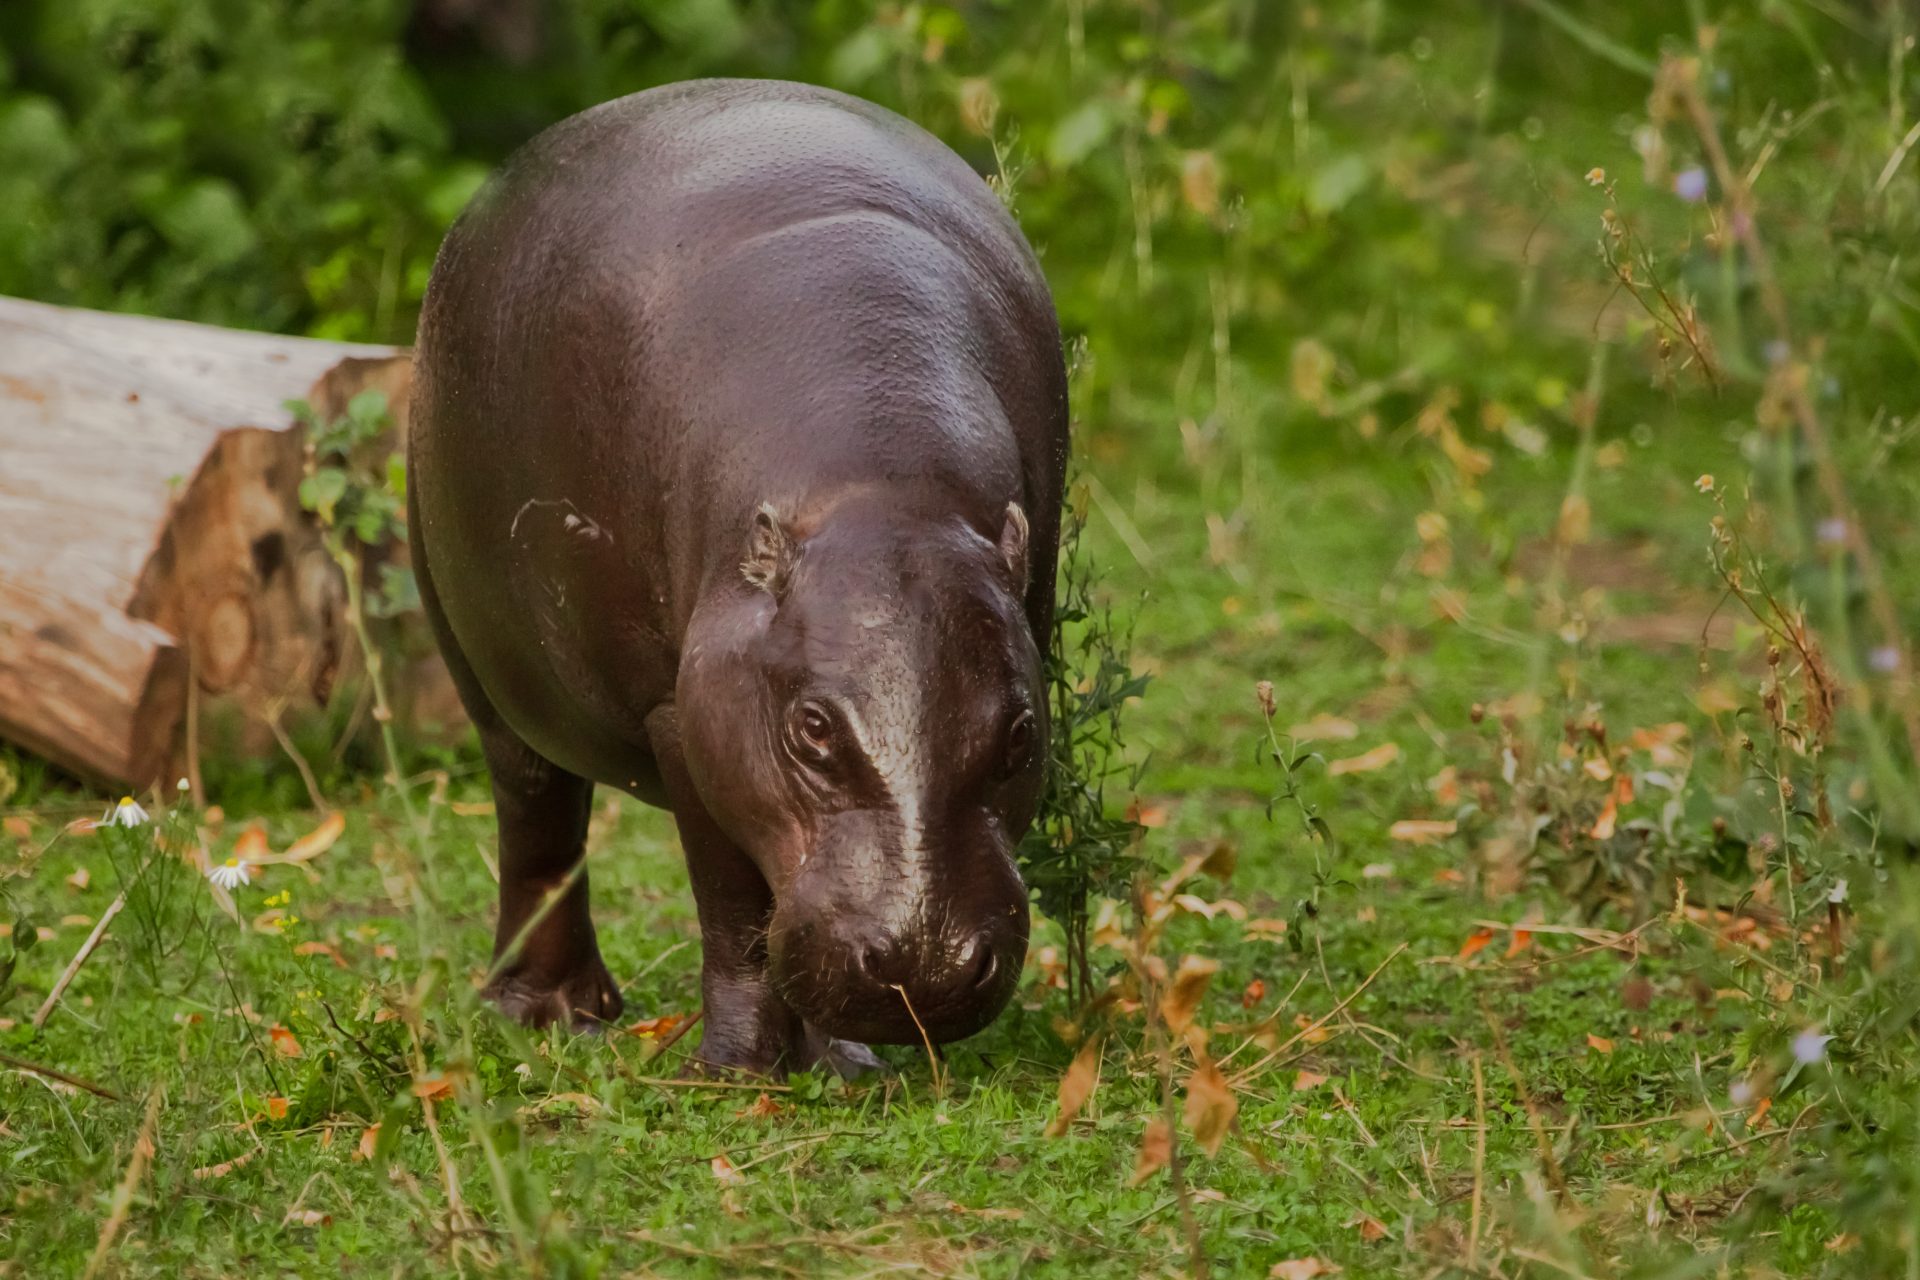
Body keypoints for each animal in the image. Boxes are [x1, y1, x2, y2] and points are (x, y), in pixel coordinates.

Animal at [408, 80, 1067, 1074]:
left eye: (1023, 732)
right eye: (812, 728)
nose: (922, 969)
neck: (881, 488)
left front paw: (848, 1069)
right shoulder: (681, 717)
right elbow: (731, 910)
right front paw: (735, 1073)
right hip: (473, 654)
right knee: (537, 816)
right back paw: (550, 1013)